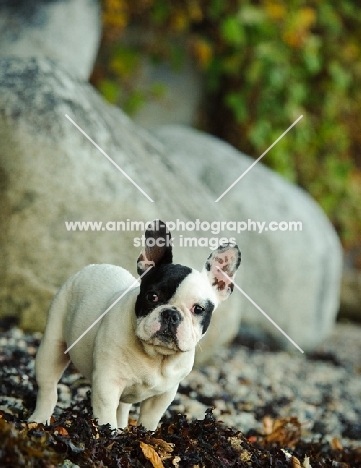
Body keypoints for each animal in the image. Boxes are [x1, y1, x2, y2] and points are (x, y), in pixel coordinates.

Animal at [29, 220, 240, 432]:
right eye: (152, 296)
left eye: (198, 309)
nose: (171, 314)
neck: (156, 357)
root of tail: (94, 266)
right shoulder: (107, 384)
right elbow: (106, 418)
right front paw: (108, 435)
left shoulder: (163, 395)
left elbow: (149, 420)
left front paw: (144, 436)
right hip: (52, 346)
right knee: (48, 387)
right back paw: (39, 420)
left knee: (122, 408)